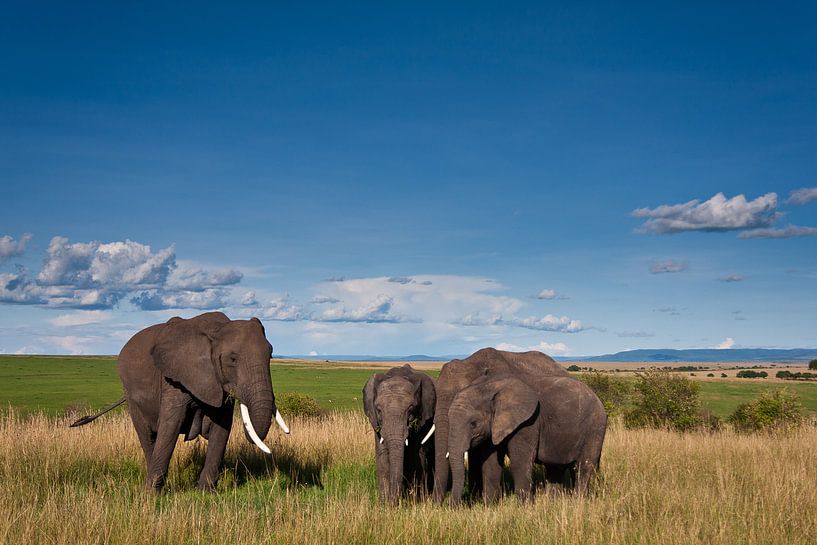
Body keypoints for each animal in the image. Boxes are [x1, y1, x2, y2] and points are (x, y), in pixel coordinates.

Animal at [113, 308, 288, 490]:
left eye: (270, 356)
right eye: (232, 359)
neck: (217, 330)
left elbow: (222, 427)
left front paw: (206, 491)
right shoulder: (175, 378)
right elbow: (170, 425)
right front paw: (151, 493)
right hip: (130, 393)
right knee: (147, 436)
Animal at [362, 364, 434, 504]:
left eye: (411, 410)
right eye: (379, 410)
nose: (394, 503)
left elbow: (415, 456)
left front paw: (415, 502)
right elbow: (383, 455)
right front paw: (384, 504)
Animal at [446, 372, 604, 504]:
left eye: (474, 424)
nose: (454, 506)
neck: (489, 386)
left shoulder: (528, 422)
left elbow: (520, 462)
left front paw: (525, 507)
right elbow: (491, 463)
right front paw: (489, 506)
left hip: (595, 428)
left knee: (584, 466)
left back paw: (578, 501)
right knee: (556, 467)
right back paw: (553, 502)